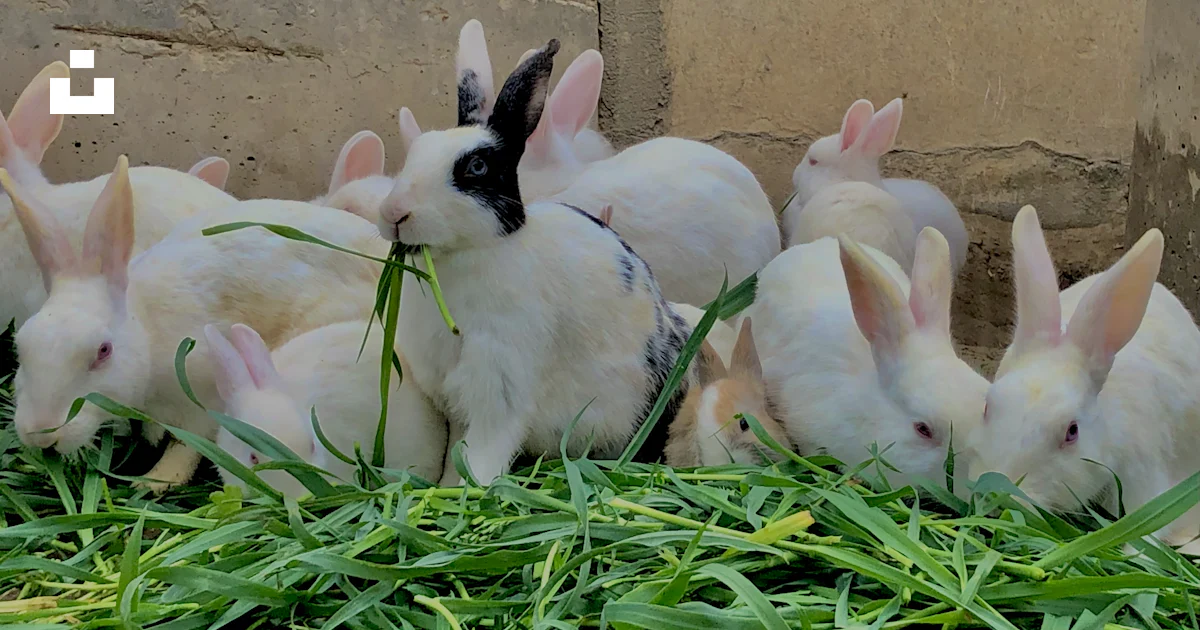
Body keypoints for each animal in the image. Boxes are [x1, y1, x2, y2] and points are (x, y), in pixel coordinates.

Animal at [3, 155, 384, 492]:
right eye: (20, 348)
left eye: (103, 351)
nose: (42, 434)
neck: (147, 331)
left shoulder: (199, 399)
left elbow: (187, 446)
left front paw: (154, 481)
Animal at [376, 40, 696, 485]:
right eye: (415, 153)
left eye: (476, 167)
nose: (394, 213)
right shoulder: (455, 398)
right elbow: (456, 451)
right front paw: (446, 485)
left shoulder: (499, 385)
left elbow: (484, 451)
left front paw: (471, 489)